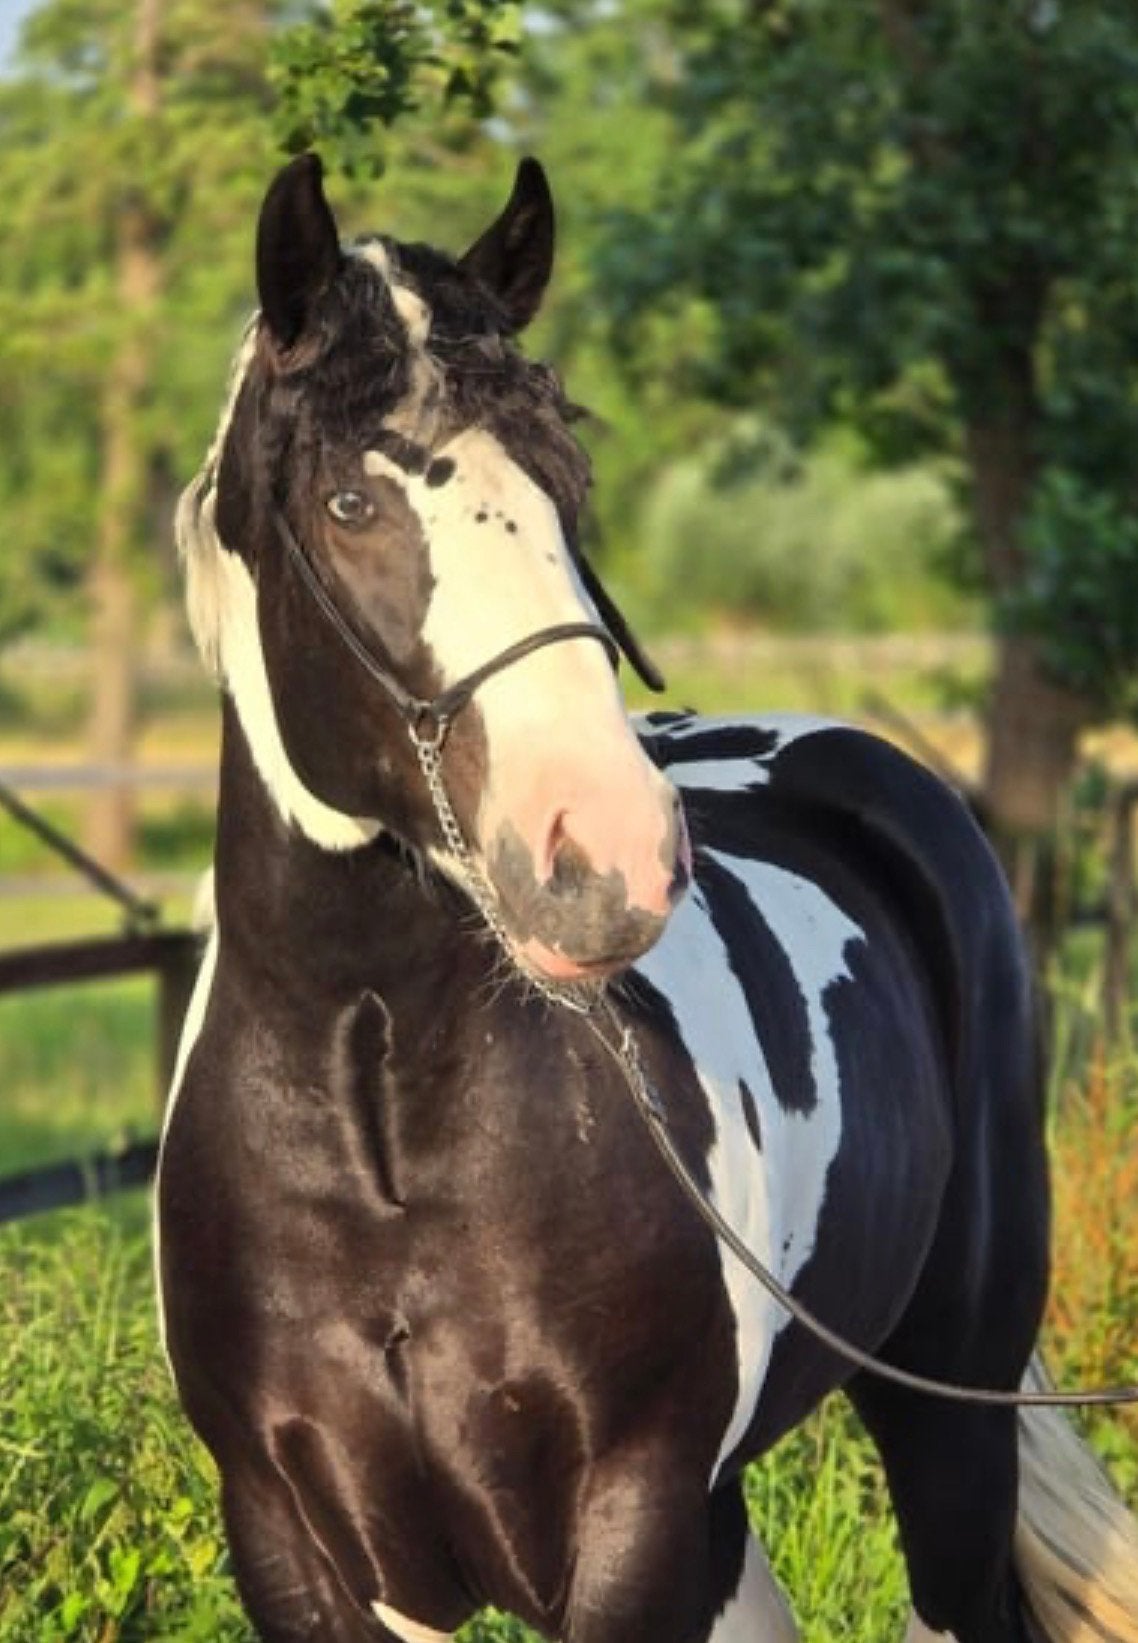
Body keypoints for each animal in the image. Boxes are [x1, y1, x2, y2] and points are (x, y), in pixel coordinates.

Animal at [157, 151, 1138, 1643]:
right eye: (350, 503)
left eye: (566, 489)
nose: (603, 853)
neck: (375, 1133)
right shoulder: (301, 1546)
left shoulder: (632, 1523)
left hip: (940, 1414)